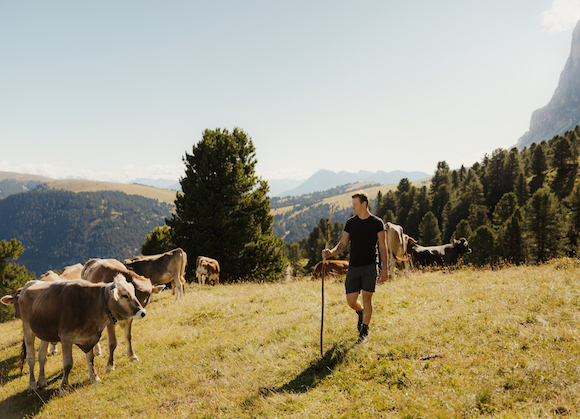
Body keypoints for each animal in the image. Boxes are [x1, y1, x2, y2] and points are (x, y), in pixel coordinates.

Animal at [1, 276, 146, 395]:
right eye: (125, 295)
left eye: (133, 293)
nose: (142, 312)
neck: (91, 304)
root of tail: (28, 284)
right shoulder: (66, 337)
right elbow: (68, 364)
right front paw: (63, 388)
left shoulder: (89, 337)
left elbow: (90, 359)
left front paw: (95, 378)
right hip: (27, 328)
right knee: (31, 358)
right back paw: (32, 385)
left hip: (44, 332)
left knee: (42, 356)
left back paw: (42, 382)